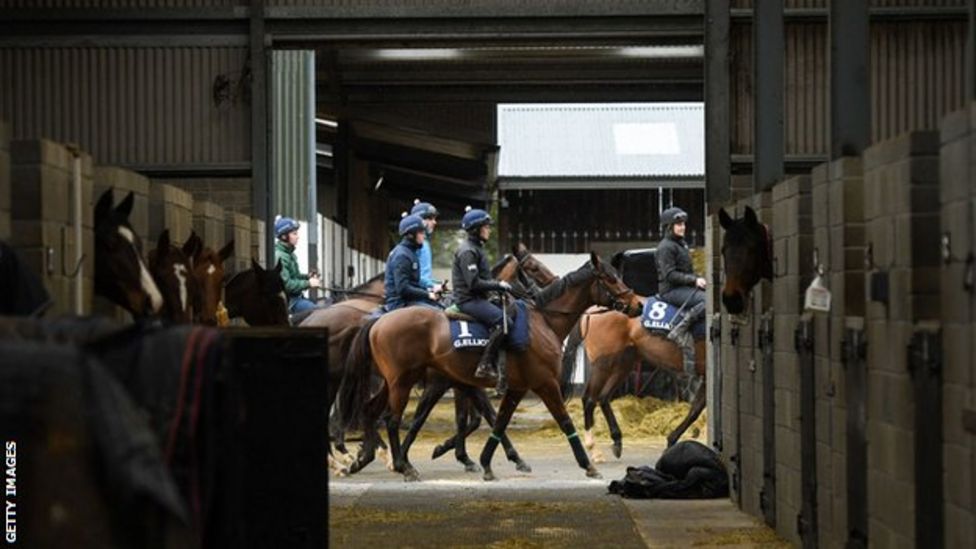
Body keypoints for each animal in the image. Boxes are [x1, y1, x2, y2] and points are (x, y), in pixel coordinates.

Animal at [340, 252, 644, 480]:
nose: (638, 305)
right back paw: (402, 466)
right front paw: (587, 464)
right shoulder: (544, 383)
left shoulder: (508, 386)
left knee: (371, 411)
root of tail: (378, 321)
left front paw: (486, 461)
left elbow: (495, 421)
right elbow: (562, 420)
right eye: (610, 278)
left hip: (392, 382)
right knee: (391, 420)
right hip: (401, 382)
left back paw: (369, 457)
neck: (543, 321)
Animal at [556, 203, 776, 456]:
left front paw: (673, 439)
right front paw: (673, 440)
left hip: (624, 362)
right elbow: (697, 408)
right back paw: (594, 448)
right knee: (589, 399)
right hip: (604, 363)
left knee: (603, 397)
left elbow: (697, 407)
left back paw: (617, 440)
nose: (734, 299)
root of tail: (594, 309)